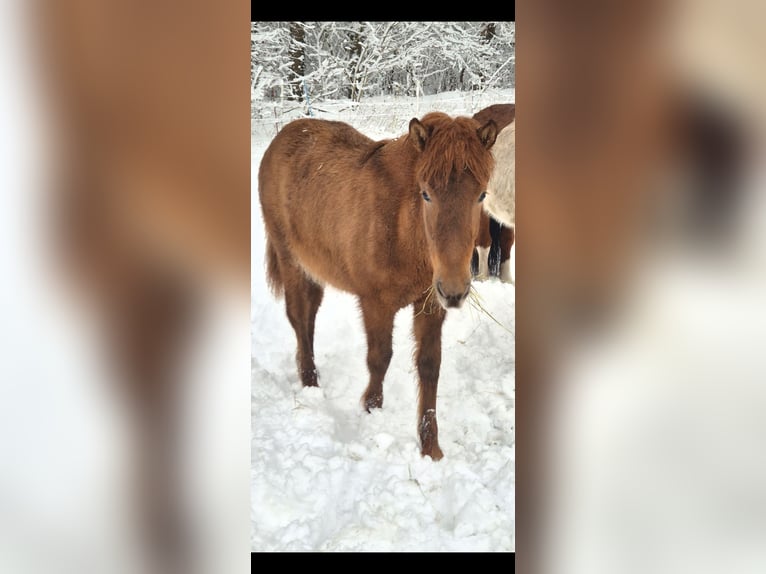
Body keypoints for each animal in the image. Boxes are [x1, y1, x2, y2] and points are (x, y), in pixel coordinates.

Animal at [258, 112, 498, 461]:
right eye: (426, 194)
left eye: (481, 195)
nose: (454, 291)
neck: (401, 226)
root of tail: (283, 136)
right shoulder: (375, 304)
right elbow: (379, 358)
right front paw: (371, 410)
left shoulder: (430, 303)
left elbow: (429, 366)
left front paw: (430, 447)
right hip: (291, 262)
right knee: (299, 317)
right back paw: (310, 382)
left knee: (310, 315)